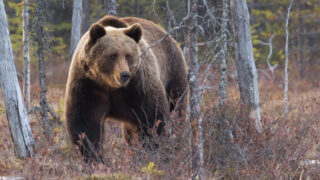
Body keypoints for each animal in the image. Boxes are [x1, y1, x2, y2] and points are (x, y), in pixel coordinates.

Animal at [65, 15, 189, 162]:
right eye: (112, 55)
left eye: (128, 55)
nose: (124, 74)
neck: (110, 85)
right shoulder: (88, 84)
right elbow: (86, 124)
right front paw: (94, 158)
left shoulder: (139, 84)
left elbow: (153, 118)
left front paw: (155, 152)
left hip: (173, 73)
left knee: (176, 109)